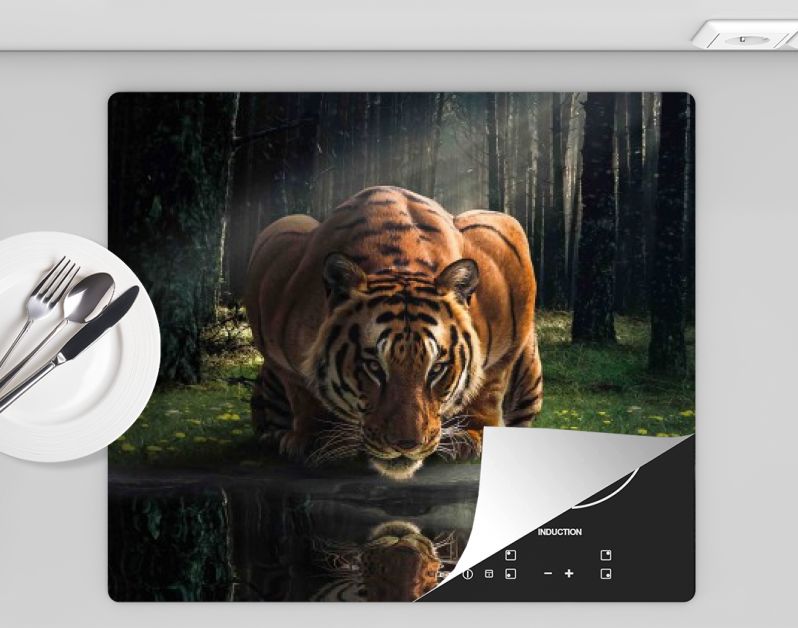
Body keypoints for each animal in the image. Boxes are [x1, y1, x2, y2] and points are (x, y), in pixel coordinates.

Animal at [245, 186, 542, 480]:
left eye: (437, 369)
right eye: (374, 367)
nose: (406, 445)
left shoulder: (506, 255)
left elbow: (490, 383)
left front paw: (471, 435)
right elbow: (301, 390)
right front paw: (318, 440)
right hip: (289, 222)